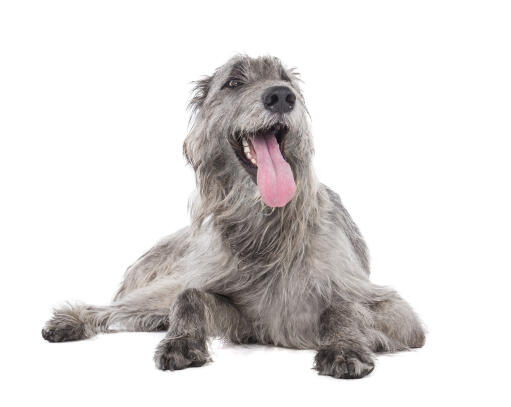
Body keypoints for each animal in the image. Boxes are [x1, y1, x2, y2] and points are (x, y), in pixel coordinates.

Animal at [42, 54, 426, 380]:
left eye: (286, 79)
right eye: (234, 82)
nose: (281, 96)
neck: (266, 230)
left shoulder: (394, 311)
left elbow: (343, 306)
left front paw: (344, 348)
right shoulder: (242, 315)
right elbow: (191, 296)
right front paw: (182, 341)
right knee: (122, 306)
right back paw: (71, 320)